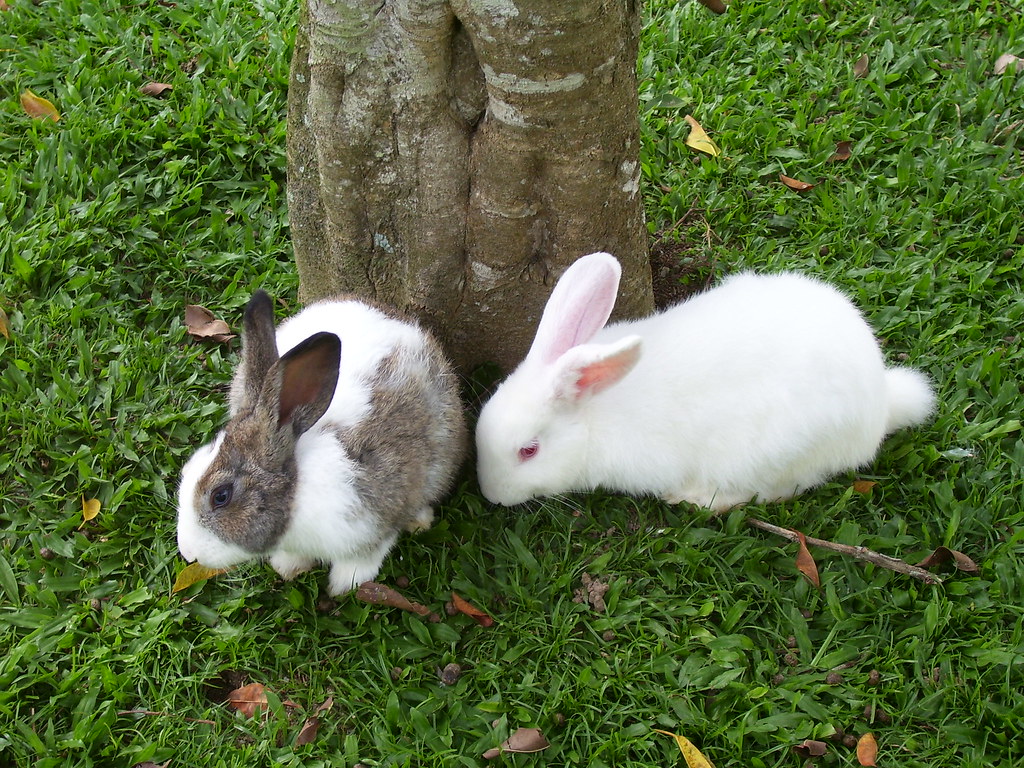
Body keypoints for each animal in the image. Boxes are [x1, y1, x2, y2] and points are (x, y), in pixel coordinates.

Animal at [177, 290, 467, 595]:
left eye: (221, 496)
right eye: (187, 469)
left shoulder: (388, 506)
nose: (189, 553)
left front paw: (346, 583)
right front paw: (289, 567)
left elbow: (371, 551)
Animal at [475, 252, 934, 511]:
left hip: (776, 452)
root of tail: (880, 404)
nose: (492, 495)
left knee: (774, 490)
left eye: (529, 451)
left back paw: (694, 498)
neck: (591, 417)